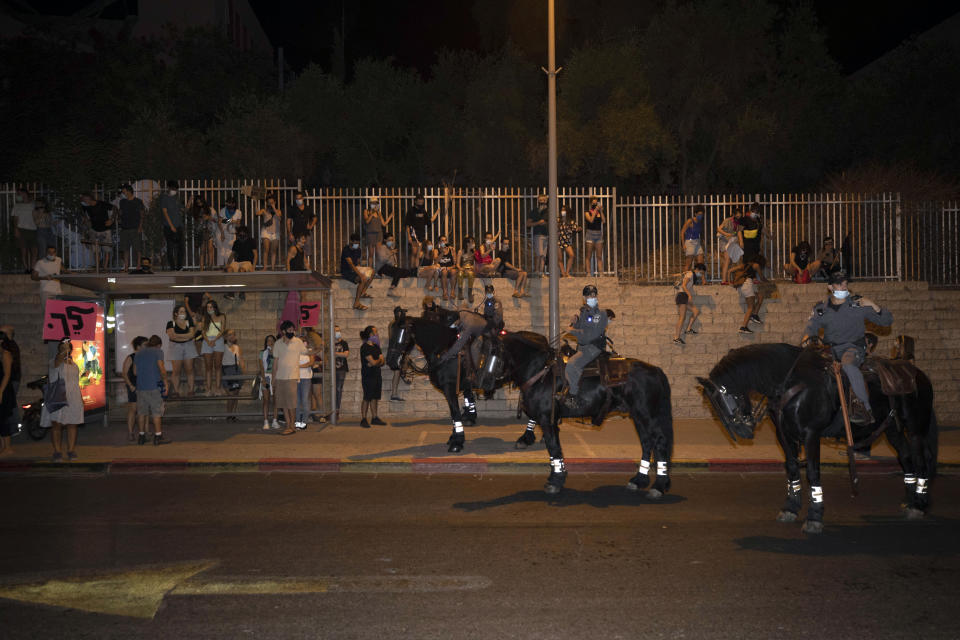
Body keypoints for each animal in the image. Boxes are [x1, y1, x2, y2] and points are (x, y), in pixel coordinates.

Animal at [384, 308, 488, 452]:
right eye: (390, 333)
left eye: (402, 335)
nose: (391, 361)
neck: (445, 350)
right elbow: (456, 411)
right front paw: (454, 437)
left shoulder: (449, 387)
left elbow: (455, 412)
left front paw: (457, 442)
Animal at [498, 332, 672, 498]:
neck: (541, 373)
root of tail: (655, 369)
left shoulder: (548, 420)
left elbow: (554, 448)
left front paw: (555, 481)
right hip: (638, 416)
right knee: (646, 442)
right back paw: (638, 480)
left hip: (647, 415)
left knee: (660, 441)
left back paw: (659, 486)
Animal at [696, 342, 936, 532]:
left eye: (725, 399)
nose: (743, 432)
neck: (791, 383)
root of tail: (920, 375)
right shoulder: (784, 434)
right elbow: (792, 467)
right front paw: (790, 508)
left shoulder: (811, 433)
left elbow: (812, 471)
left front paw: (814, 516)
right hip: (892, 429)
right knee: (906, 457)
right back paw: (909, 501)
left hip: (915, 427)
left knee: (920, 461)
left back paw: (919, 503)